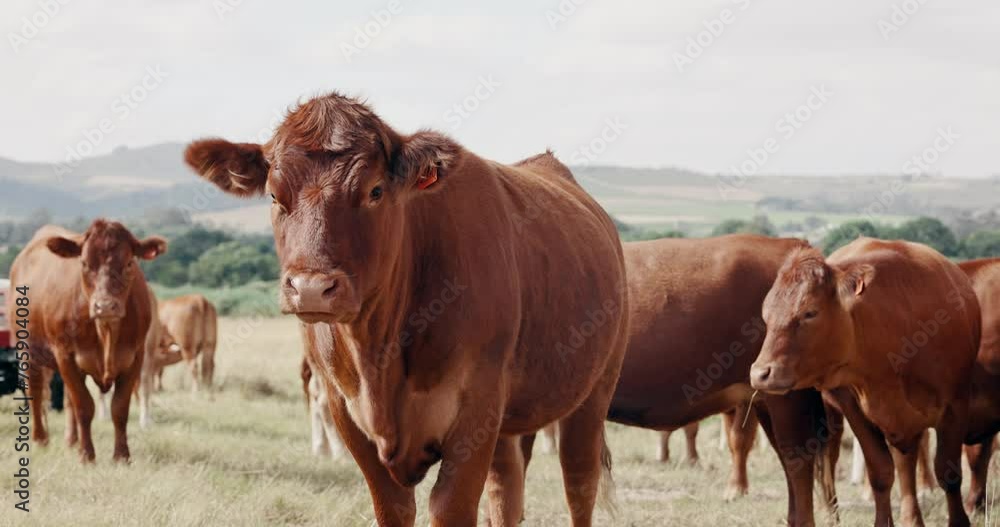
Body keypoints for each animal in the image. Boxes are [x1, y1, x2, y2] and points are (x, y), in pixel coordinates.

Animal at [11, 220, 166, 462]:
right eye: (84, 263)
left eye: (129, 262)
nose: (105, 305)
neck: (106, 333)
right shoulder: (65, 355)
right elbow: (84, 406)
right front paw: (87, 455)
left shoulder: (135, 357)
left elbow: (119, 408)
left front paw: (121, 456)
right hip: (29, 352)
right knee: (35, 391)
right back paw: (40, 439)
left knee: (67, 400)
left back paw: (71, 440)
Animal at [184, 92, 630, 527]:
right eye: (275, 195)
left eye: (375, 191)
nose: (311, 289)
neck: (378, 355)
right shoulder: (346, 411)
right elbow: (393, 508)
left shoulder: (477, 408)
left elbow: (450, 508)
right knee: (507, 491)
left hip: (592, 395)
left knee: (579, 486)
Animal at [750, 238, 980, 527]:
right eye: (766, 315)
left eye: (809, 313)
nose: (760, 373)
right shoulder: (855, 410)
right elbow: (881, 473)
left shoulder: (956, 406)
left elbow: (949, 473)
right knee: (903, 466)